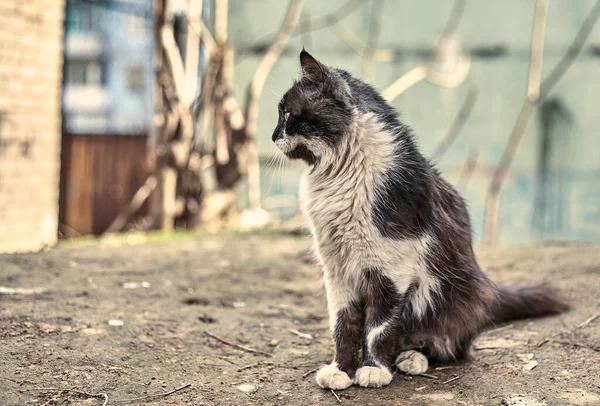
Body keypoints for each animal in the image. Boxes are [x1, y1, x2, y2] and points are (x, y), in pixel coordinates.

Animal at [270, 50, 568, 390]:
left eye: (288, 114)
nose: (273, 136)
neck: (339, 175)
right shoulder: (336, 269)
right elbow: (343, 324)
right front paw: (341, 369)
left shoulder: (391, 268)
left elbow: (379, 325)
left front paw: (373, 369)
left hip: (462, 295)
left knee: (453, 346)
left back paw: (412, 358)